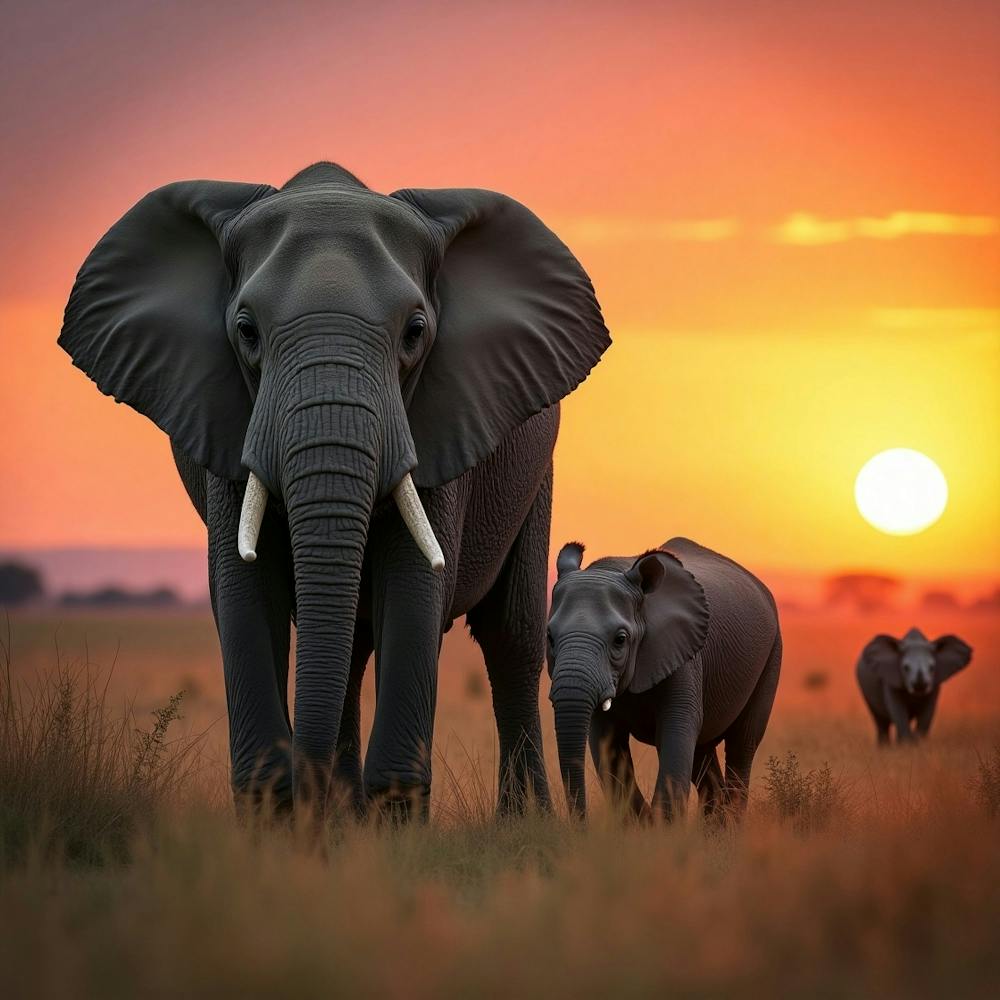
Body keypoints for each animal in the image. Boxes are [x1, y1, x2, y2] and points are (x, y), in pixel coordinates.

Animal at [59, 161, 610, 817]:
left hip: (533, 475)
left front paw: (387, 824)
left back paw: (518, 823)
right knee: (350, 646)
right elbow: (244, 594)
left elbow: (415, 588)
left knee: (510, 639)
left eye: (415, 332)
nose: (307, 788)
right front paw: (284, 821)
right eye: (246, 331)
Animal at [547, 537, 781, 821]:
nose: (582, 823)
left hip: (772, 654)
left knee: (742, 743)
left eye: (620, 640)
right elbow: (607, 741)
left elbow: (676, 729)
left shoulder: (683, 653)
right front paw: (644, 823)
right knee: (701, 753)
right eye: (549, 637)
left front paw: (661, 827)